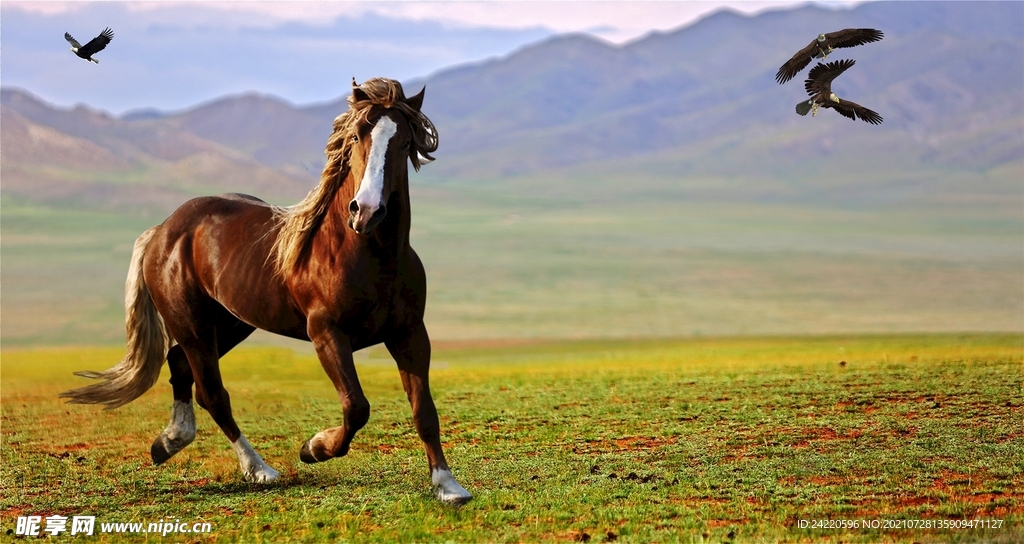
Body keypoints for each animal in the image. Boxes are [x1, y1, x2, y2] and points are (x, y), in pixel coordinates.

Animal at [59, 78, 472, 504]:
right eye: (358, 135)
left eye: (405, 142)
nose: (367, 211)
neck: (366, 254)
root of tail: (163, 230)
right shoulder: (326, 334)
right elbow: (356, 407)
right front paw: (314, 448)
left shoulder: (410, 334)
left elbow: (424, 411)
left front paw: (448, 485)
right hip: (193, 327)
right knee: (213, 394)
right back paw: (259, 469)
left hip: (230, 325)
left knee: (180, 366)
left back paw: (169, 441)